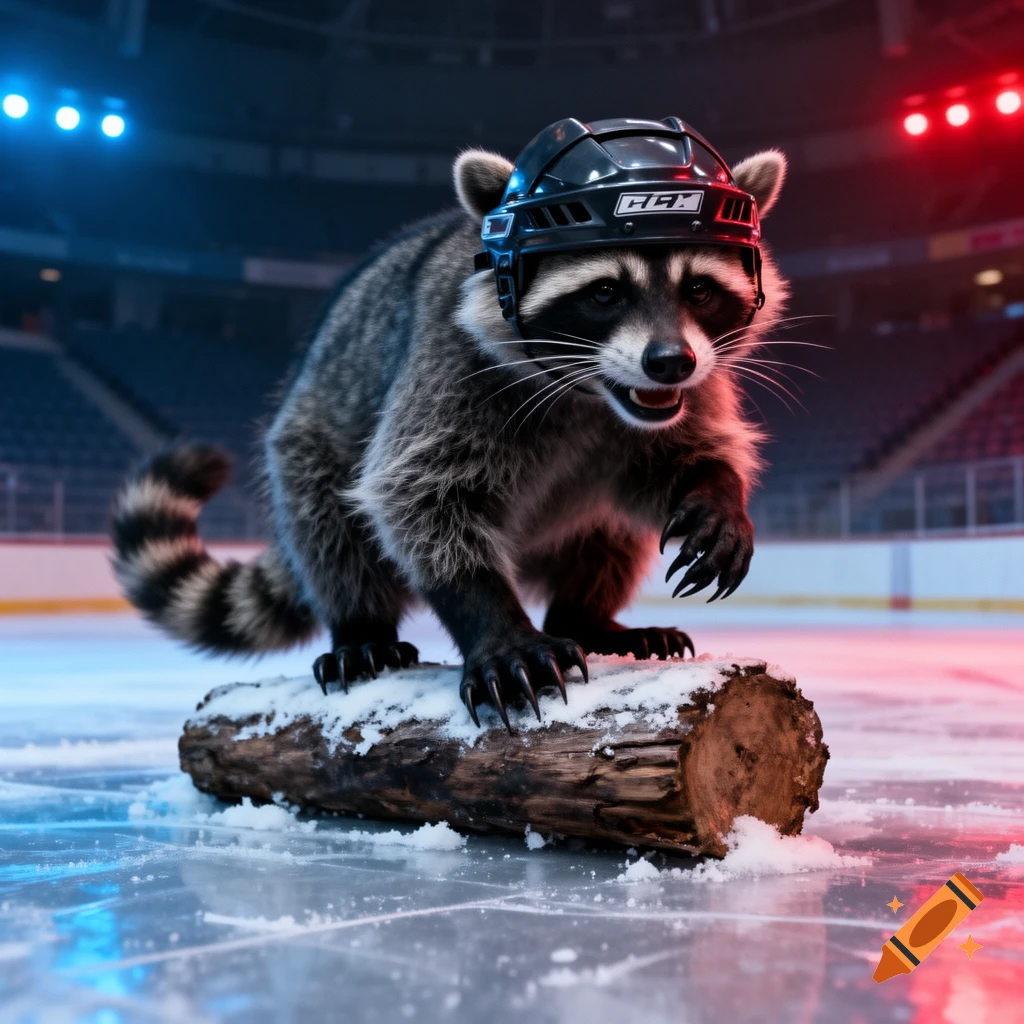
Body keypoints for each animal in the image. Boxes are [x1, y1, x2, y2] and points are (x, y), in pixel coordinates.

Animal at [111, 135, 788, 728]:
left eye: (698, 288)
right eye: (605, 293)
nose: (670, 363)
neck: (592, 394)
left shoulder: (690, 387)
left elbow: (679, 456)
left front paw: (717, 491)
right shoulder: (449, 367)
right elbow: (419, 497)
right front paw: (496, 624)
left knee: (610, 535)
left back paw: (586, 615)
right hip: (308, 437)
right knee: (330, 525)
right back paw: (361, 626)